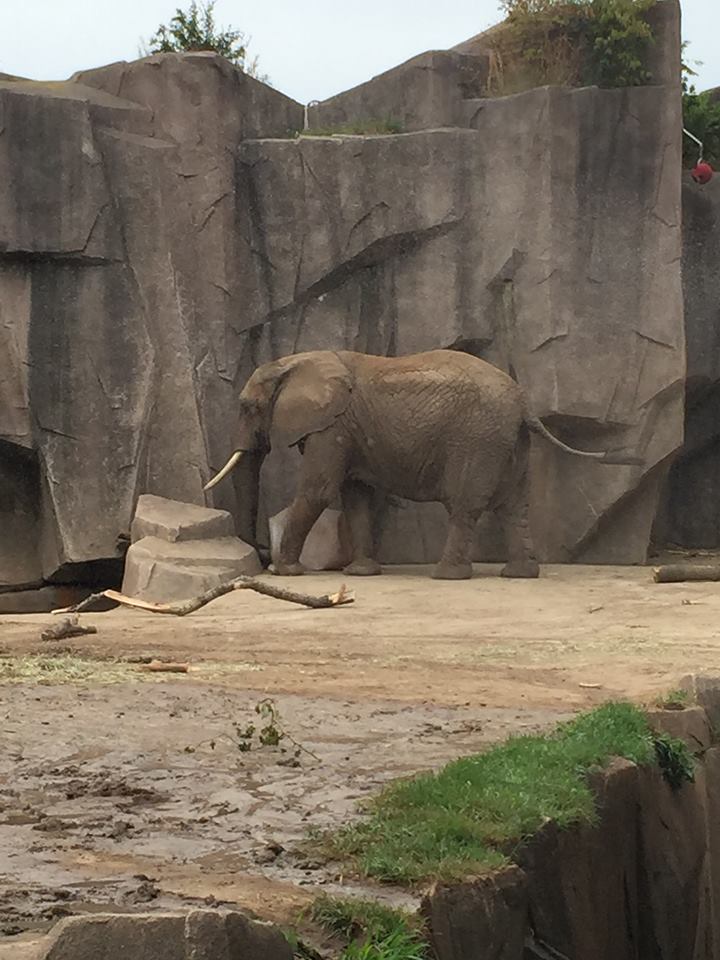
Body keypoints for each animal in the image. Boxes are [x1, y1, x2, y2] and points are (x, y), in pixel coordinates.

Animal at [204, 349, 638, 580]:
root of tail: (523, 402)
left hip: (476, 439)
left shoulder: (333, 427)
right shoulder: (350, 430)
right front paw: (360, 574)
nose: (263, 556)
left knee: (465, 506)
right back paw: (519, 574)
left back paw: (447, 575)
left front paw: (285, 573)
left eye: (248, 407)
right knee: (514, 506)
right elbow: (356, 495)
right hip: (511, 442)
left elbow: (319, 491)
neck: (296, 361)